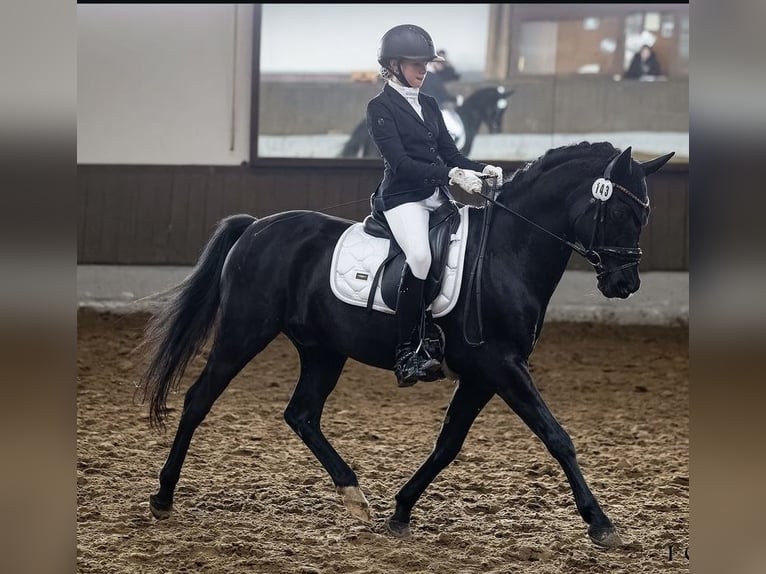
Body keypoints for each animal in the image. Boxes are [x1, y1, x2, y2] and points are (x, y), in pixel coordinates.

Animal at [140, 142, 680, 552]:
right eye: (621, 210)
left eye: (646, 213)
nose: (625, 284)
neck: (506, 252)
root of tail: (256, 226)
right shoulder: (501, 365)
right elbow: (556, 436)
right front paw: (601, 523)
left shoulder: (483, 374)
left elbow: (448, 444)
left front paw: (400, 510)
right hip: (244, 331)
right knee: (199, 399)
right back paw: (163, 497)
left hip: (324, 349)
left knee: (302, 414)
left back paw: (355, 496)